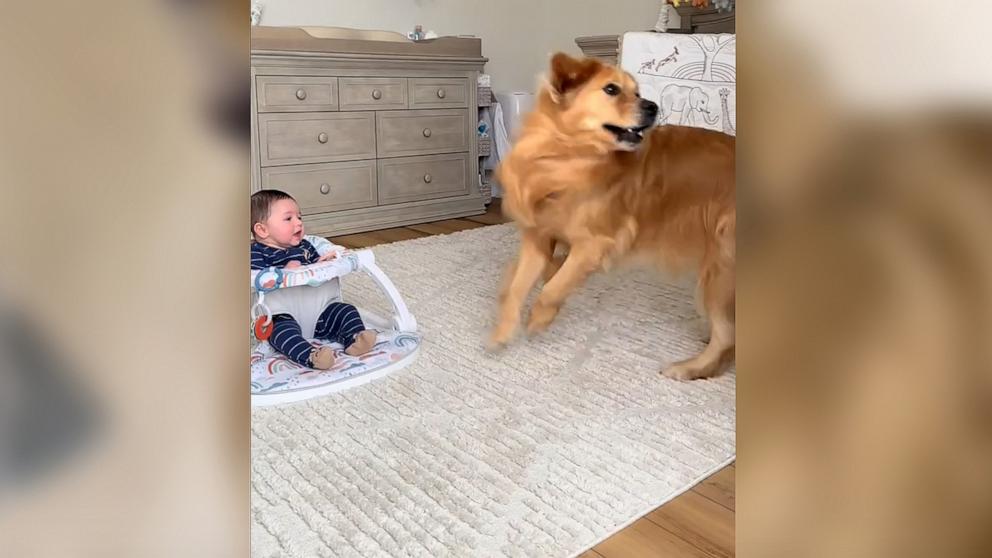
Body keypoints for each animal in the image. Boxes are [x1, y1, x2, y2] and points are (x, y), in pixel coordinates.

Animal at [490, 52, 736, 382]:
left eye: (637, 92)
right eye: (611, 90)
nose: (653, 106)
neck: (564, 157)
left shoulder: (594, 244)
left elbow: (554, 288)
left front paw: (541, 317)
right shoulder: (537, 238)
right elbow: (519, 287)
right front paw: (502, 331)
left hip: (719, 268)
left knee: (727, 336)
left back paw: (690, 367)